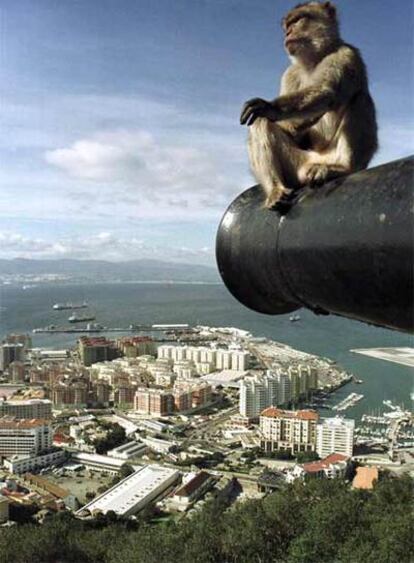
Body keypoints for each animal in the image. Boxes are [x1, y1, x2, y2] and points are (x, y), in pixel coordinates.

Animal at [239, 1, 378, 208]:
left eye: (297, 20)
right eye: (287, 25)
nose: (287, 33)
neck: (313, 60)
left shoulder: (345, 54)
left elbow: (326, 92)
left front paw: (270, 107)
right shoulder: (290, 74)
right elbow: (292, 129)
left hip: (335, 155)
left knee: (360, 99)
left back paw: (343, 168)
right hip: (296, 166)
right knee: (260, 123)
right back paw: (275, 189)